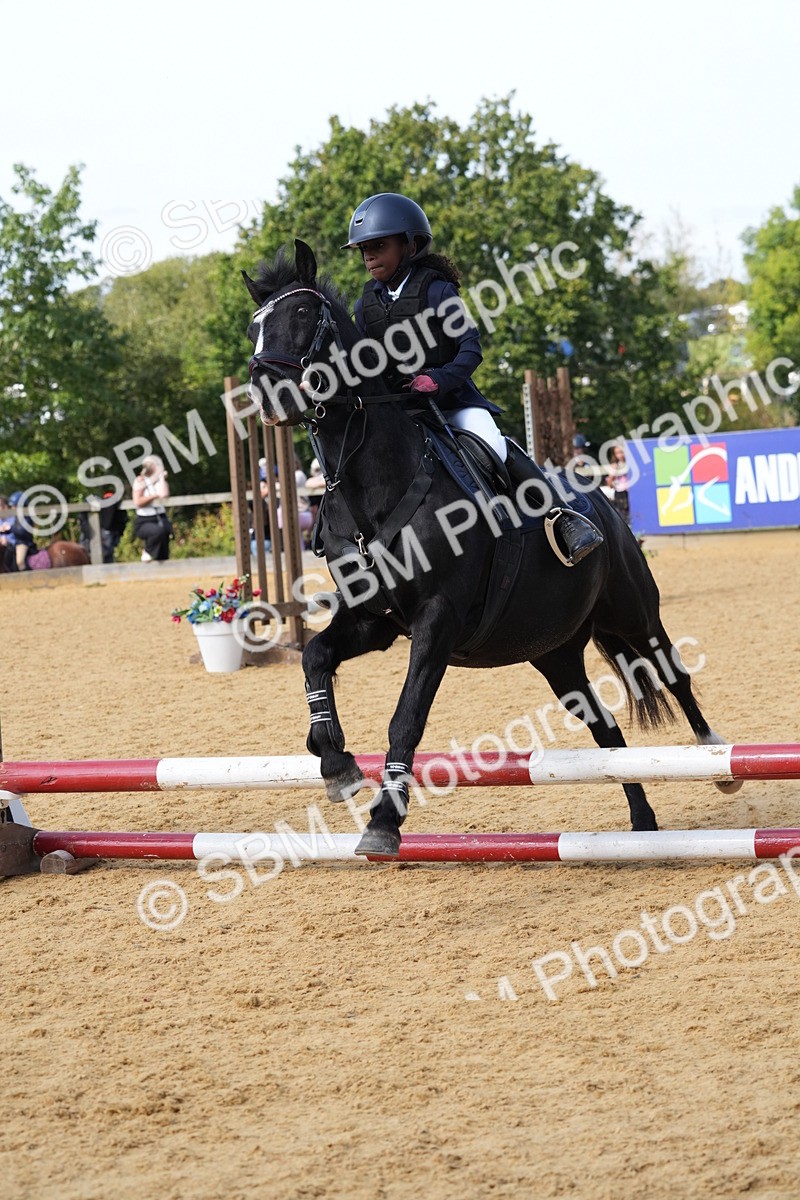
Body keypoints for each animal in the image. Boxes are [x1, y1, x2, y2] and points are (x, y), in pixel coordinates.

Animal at [243, 239, 738, 857]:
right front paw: (336, 764)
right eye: (254, 327)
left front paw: (383, 822)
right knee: (606, 727)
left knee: (673, 672)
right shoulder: (375, 620)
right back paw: (642, 823)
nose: (267, 394)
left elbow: (406, 719)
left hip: (630, 611)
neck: (369, 489)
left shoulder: (438, 619)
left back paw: (717, 758)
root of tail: (604, 504)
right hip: (555, 651)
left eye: (304, 313)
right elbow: (314, 656)